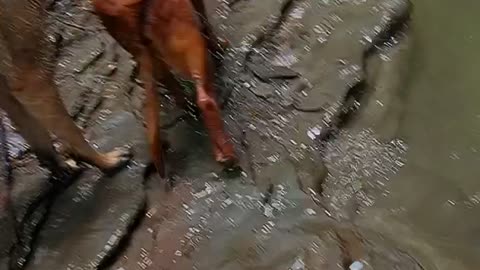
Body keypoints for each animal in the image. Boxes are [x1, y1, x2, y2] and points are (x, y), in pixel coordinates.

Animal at [93, 0, 237, 177]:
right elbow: (204, 21)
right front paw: (219, 47)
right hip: (186, 40)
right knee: (205, 99)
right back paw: (226, 155)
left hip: (146, 53)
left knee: (172, 86)